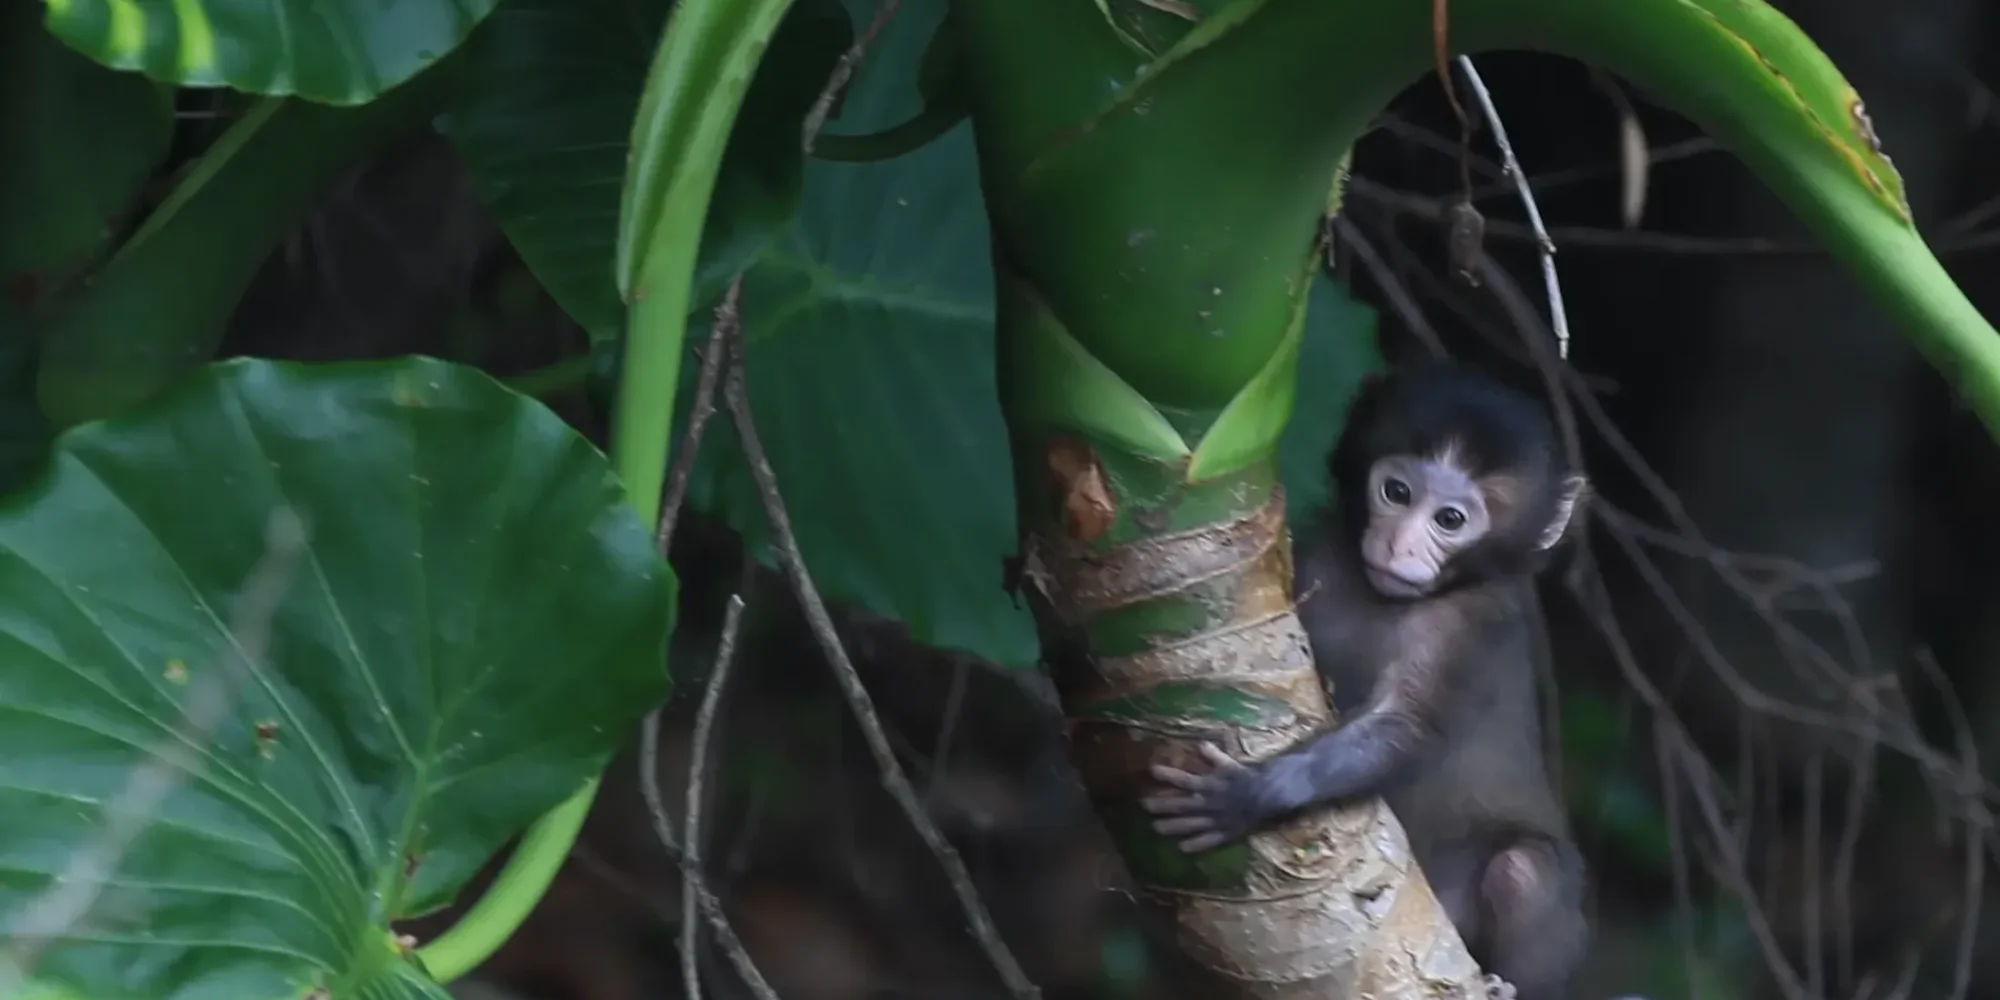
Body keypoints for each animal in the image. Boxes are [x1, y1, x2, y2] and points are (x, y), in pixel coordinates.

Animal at [1141, 361, 1591, 1000]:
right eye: (1396, 492)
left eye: (1450, 520)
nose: (1400, 544)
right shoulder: (1317, 553)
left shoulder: (1468, 623)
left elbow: (1406, 726)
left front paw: (1251, 793)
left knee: (1525, 873)